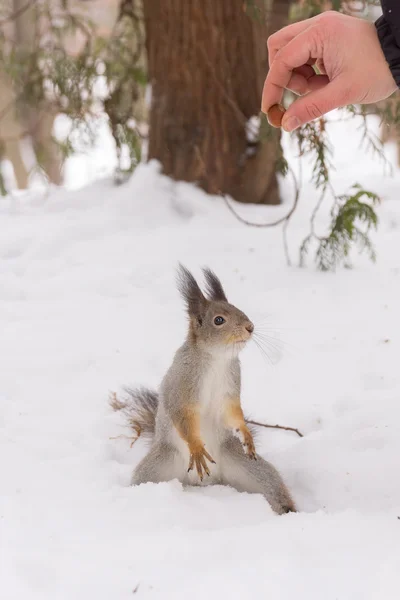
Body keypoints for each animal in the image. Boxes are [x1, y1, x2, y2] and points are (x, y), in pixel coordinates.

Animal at [111, 264, 296, 512]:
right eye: (219, 320)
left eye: (238, 308)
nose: (250, 327)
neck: (217, 359)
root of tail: (204, 483)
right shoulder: (182, 385)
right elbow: (183, 415)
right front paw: (197, 447)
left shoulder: (230, 387)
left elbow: (233, 412)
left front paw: (246, 433)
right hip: (158, 466)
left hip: (246, 466)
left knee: (271, 485)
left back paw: (287, 510)